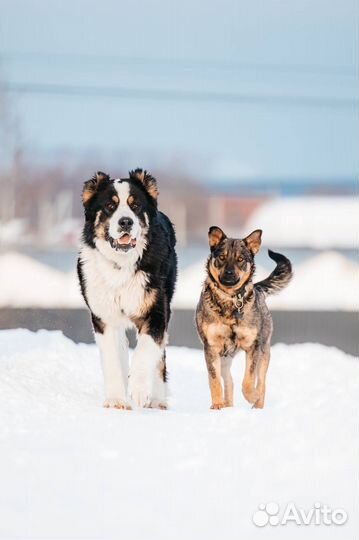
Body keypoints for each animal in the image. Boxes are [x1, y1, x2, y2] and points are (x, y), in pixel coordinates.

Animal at [77, 169, 177, 410]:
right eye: (109, 206)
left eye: (136, 205)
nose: (125, 222)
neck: (121, 266)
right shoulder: (104, 318)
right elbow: (113, 360)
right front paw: (116, 400)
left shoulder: (156, 312)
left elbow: (145, 351)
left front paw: (140, 390)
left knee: (159, 358)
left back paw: (157, 400)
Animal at [197, 227, 292, 410]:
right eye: (222, 257)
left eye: (240, 259)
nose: (229, 273)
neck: (230, 300)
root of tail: (259, 289)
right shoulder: (211, 347)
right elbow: (214, 380)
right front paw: (217, 405)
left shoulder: (252, 347)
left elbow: (249, 380)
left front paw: (252, 396)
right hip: (224, 357)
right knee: (229, 381)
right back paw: (227, 405)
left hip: (264, 351)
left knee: (261, 382)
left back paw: (258, 405)